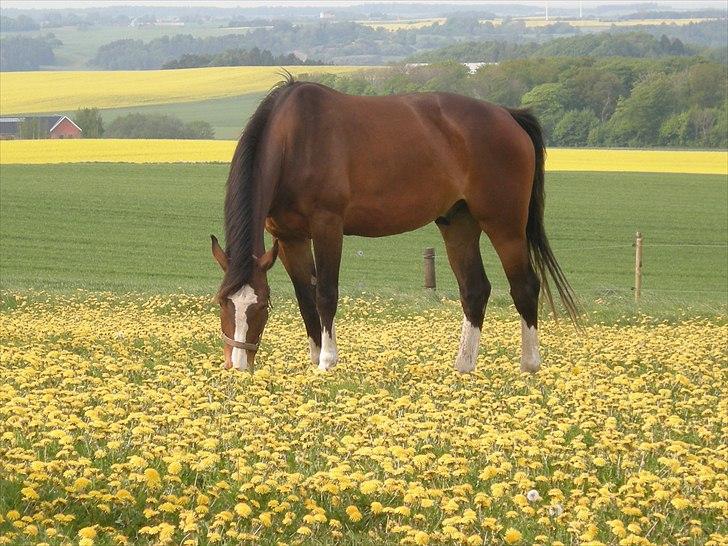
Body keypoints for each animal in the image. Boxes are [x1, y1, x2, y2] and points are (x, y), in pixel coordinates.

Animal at [212, 76, 580, 372]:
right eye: (222, 302)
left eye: (260, 306)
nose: (237, 365)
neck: (295, 141)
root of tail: (508, 115)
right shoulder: (289, 238)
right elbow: (305, 298)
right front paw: (314, 358)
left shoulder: (327, 225)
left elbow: (325, 293)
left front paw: (327, 362)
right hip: (458, 223)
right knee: (475, 290)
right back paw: (464, 366)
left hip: (504, 223)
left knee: (525, 286)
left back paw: (529, 365)